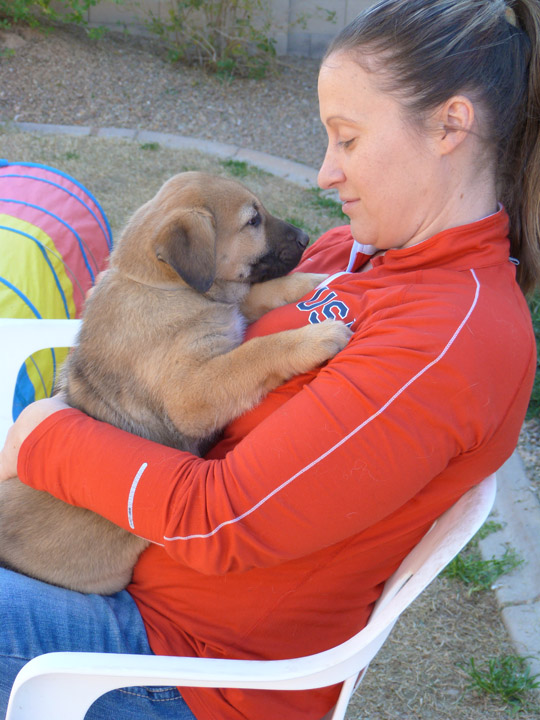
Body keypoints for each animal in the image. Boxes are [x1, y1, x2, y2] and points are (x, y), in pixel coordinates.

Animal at [0, 172, 352, 592]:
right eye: (253, 221)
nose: (306, 238)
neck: (161, 286)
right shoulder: (192, 391)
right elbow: (256, 351)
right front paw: (314, 336)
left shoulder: (226, 311)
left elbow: (258, 294)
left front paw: (313, 279)